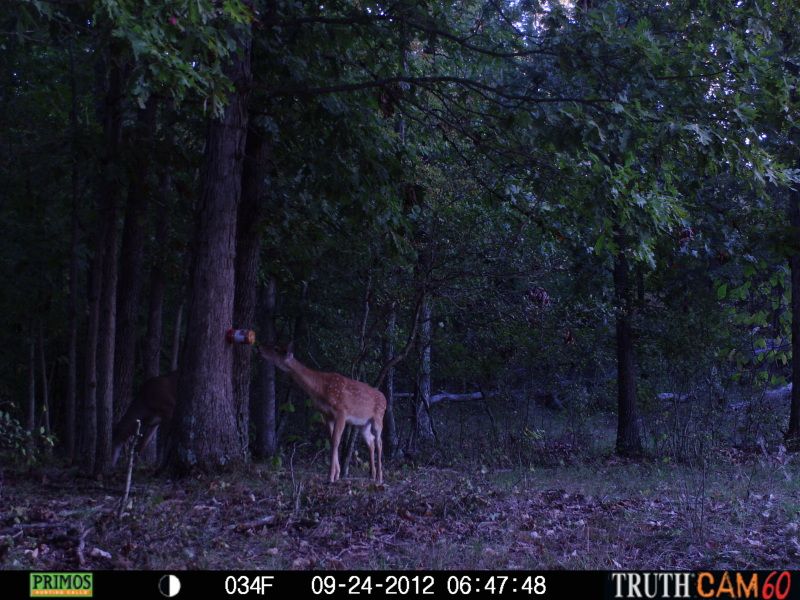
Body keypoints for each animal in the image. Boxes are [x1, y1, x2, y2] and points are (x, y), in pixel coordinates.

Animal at [257, 342, 386, 484]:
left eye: (276, 349)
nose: (259, 348)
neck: (320, 388)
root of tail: (385, 399)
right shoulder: (327, 415)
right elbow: (331, 440)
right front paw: (336, 474)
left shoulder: (342, 411)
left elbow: (336, 441)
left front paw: (330, 477)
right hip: (362, 425)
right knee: (371, 441)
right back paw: (372, 475)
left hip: (378, 418)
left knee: (379, 442)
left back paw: (380, 477)